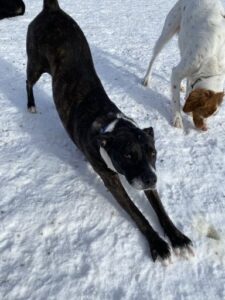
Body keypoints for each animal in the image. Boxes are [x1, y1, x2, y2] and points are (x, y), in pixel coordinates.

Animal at [25, 0, 192, 262]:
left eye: (153, 153)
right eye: (128, 155)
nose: (151, 179)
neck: (110, 124)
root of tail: (51, 9)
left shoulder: (147, 173)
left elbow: (160, 209)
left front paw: (177, 237)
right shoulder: (112, 179)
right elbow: (137, 213)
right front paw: (158, 244)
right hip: (35, 62)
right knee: (28, 81)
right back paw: (31, 104)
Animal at [143, 0, 225, 130]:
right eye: (205, 112)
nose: (204, 128)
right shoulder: (180, 70)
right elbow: (176, 100)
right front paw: (177, 119)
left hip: (184, 44)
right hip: (168, 31)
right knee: (154, 56)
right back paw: (146, 78)